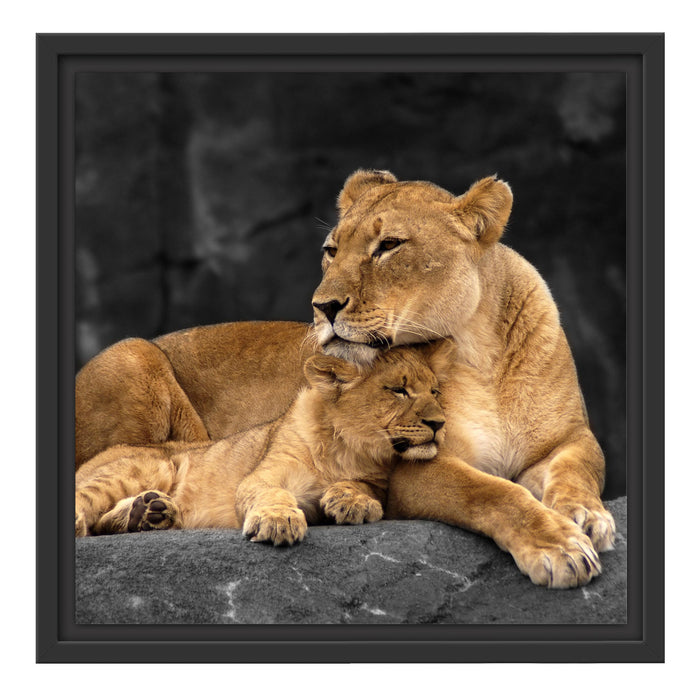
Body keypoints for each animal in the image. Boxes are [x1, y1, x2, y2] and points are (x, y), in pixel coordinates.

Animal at [75, 342, 454, 547]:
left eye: (435, 391)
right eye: (399, 390)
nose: (439, 424)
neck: (347, 449)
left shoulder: (378, 481)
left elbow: (365, 487)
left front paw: (352, 501)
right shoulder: (261, 476)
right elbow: (273, 494)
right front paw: (278, 521)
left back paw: (150, 513)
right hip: (149, 465)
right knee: (88, 502)